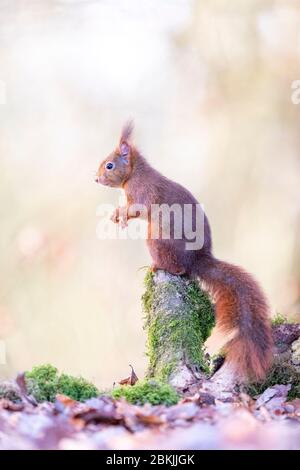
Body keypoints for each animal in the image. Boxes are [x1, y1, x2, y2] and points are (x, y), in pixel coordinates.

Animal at [95, 123, 274, 384]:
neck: (135, 173)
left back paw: (156, 267)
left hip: (156, 240)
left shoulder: (143, 193)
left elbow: (137, 209)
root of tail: (198, 259)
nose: (96, 178)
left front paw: (120, 214)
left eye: (109, 165)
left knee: (179, 269)